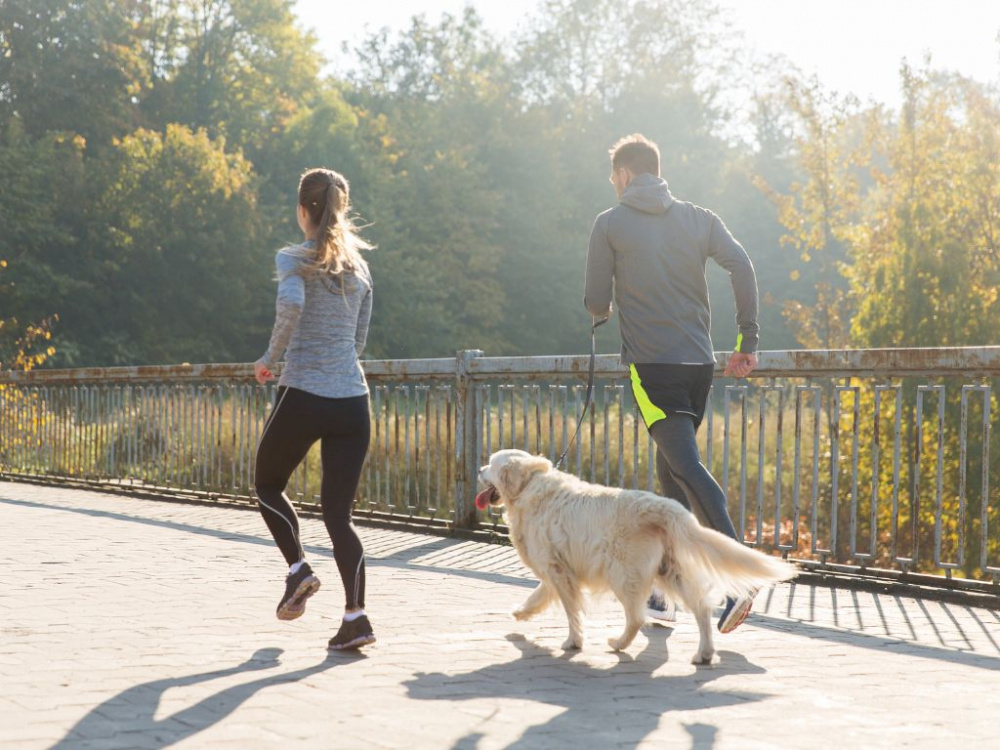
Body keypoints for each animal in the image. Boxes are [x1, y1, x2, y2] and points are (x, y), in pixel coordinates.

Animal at [476, 450, 796, 668]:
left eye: (491, 463)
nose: (478, 469)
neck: (529, 485)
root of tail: (665, 506)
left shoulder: (557, 569)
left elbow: (571, 612)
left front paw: (573, 642)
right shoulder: (559, 569)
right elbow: (539, 595)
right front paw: (521, 612)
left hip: (623, 574)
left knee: (637, 617)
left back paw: (618, 643)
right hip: (671, 573)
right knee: (702, 611)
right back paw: (703, 654)